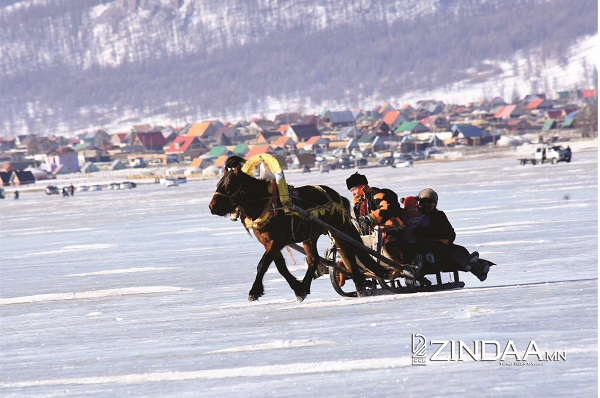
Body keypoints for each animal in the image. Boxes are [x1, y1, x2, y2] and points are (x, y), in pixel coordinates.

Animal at [209, 155, 386, 302]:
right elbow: (280, 267)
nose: (212, 207)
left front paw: (254, 291)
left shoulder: (277, 241)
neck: (267, 204)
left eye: (229, 184)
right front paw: (298, 288)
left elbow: (263, 265)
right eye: (218, 183)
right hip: (310, 236)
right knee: (314, 259)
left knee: (349, 252)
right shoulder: (268, 242)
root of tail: (338, 196)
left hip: (338, 228)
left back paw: (360, 285)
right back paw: (307, 286)